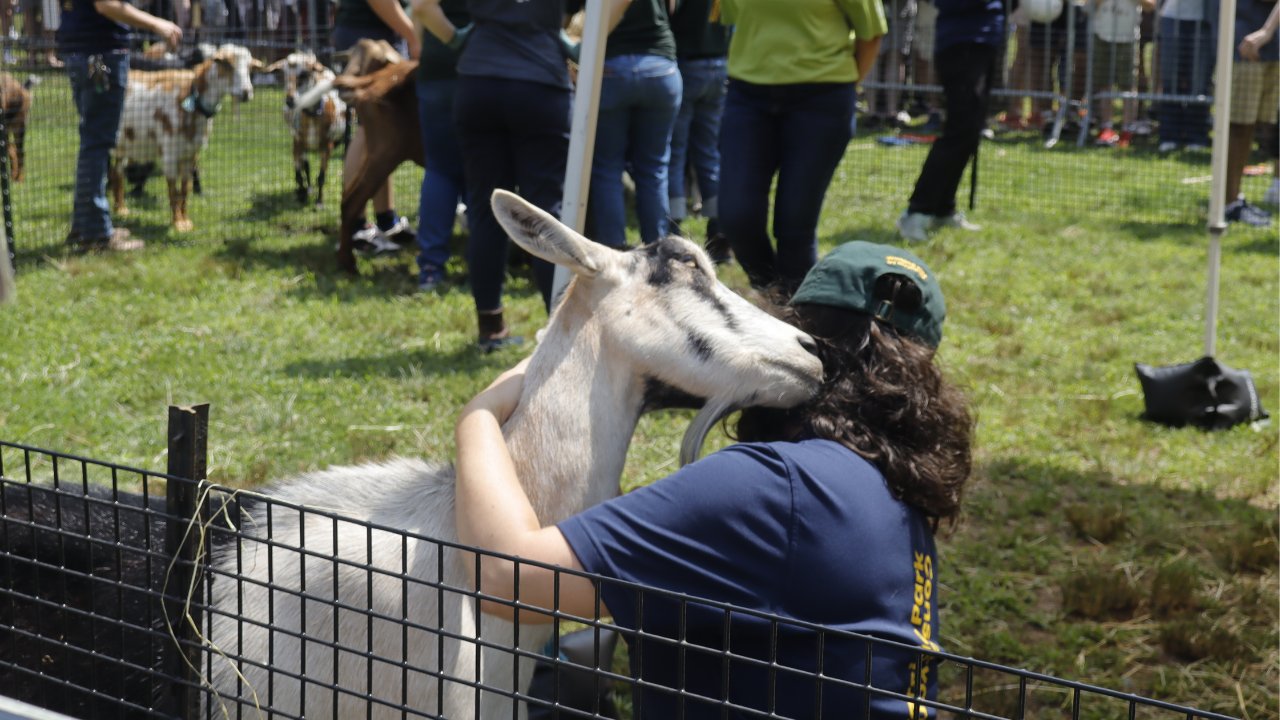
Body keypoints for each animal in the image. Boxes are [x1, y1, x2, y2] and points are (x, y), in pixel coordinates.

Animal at [109, 45, 261, 232]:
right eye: (226, 64)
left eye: (250, 68)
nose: (246, 93)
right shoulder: (169, 152)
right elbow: (173, 188)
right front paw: (177, 224)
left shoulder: (191, 153)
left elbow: (185, 187)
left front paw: (186, 220)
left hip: (123, 145)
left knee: (117, 172)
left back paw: (120, 209)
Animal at [265, 52, 347, 209]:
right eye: (283, 74)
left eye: (304, 74)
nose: (290, 100)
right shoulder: (297, 144)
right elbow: (299, 173)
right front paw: (301, 193)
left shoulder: (327, 147)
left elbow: (321, 176)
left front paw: (319, 202)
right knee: (306, 166)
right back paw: (307, 189)